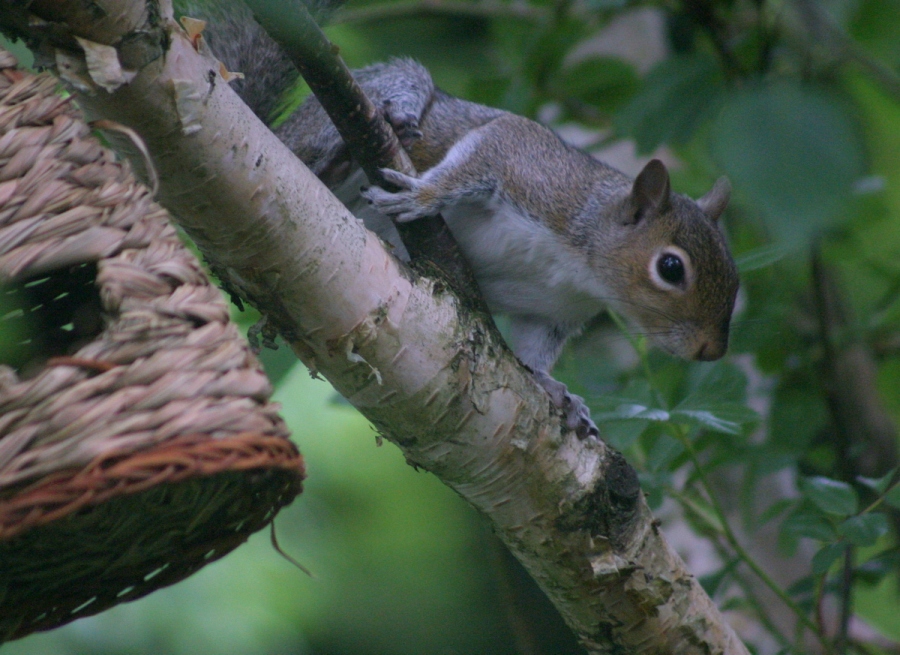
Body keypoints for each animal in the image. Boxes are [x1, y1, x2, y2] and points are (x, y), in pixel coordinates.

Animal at [181, 2, 740, 440]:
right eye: (671, 268)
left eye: (734, 278)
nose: (711, 351)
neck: (581, 271)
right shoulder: (529, 166)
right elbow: (480, 158)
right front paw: (424, 195)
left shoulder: (551, 313)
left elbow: (534, 354)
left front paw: (560, 393)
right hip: (353, 107)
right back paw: (349, 150)